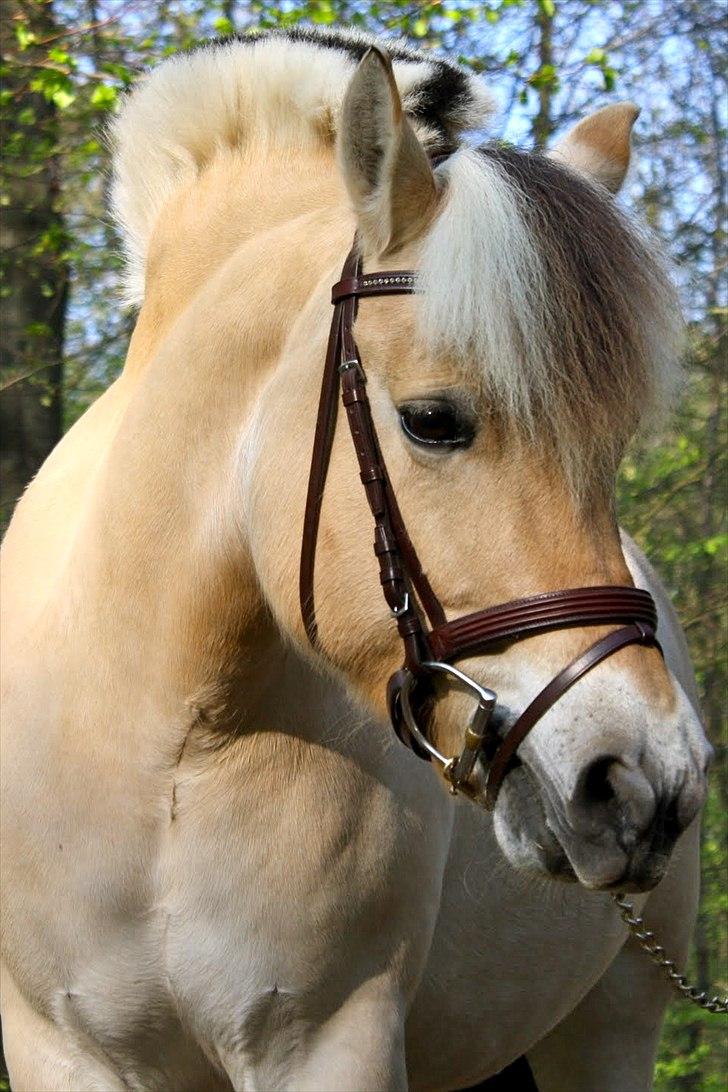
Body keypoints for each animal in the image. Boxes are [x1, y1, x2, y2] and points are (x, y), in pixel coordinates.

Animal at [1, 25, 711, 1092]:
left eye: (614, 447)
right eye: (432, 421)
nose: (643, 784)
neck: (162, 736)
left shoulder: (330, 1040)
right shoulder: (61, 1047)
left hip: (611, 1031)